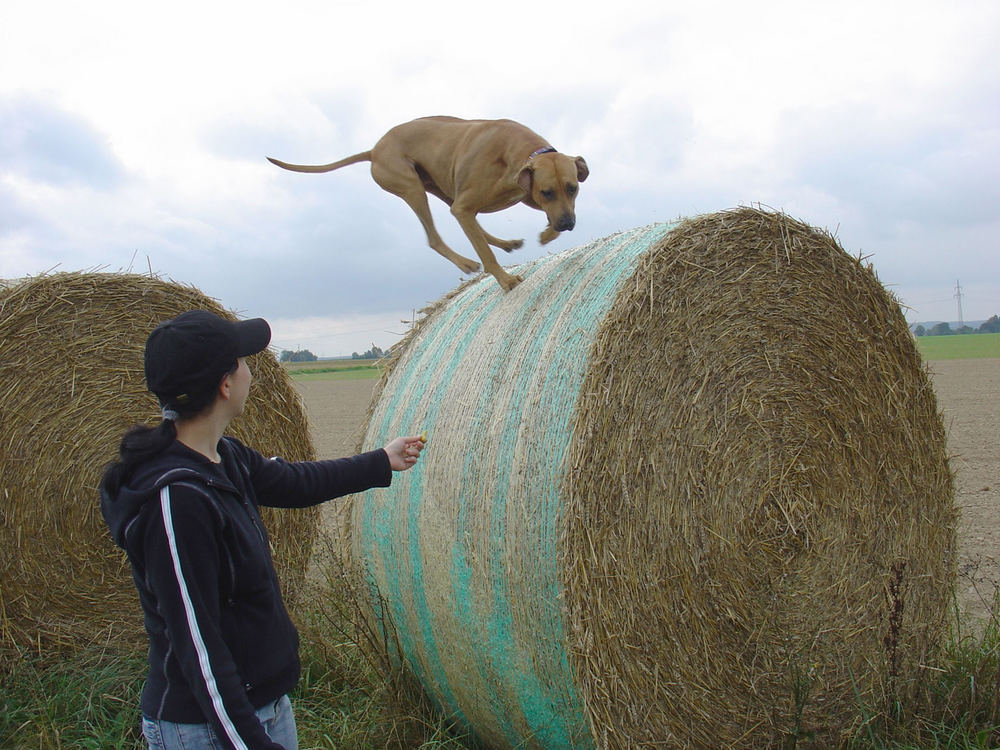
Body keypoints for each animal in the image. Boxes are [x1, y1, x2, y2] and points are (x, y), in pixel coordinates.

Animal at [270, 116, 588, 292]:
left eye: (572, 188)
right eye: (547, 192)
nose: (568, 225)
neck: (518, 152)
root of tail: (373, 150)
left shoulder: (526, 194)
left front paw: (547, 233)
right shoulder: (473, 202)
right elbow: (486, 254)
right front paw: (505, 280)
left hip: (439, 185)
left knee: (471, 225)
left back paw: (507, 242)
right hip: (412, 185)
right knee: (437, 238)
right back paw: (467, 261)